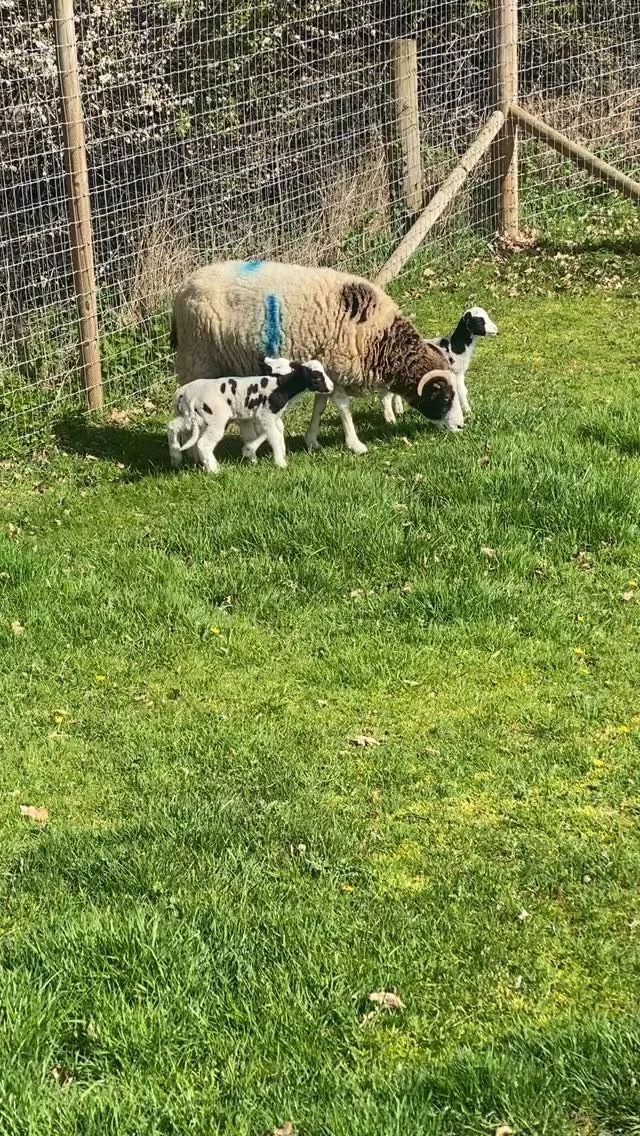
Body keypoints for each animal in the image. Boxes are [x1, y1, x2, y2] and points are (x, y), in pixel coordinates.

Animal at [167, 355, 333, 472]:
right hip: (214, 420)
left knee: (172, 427)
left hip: (192, 418)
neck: (281, 386)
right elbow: (272, 435)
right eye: (317, 377)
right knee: (203, 443)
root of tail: (184, 394)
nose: (331, 387)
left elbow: (270, 432)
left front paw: (253, 456)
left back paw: (176, 457)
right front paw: (280, 462)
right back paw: (214, 470)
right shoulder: (264, 415)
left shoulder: (253, 417)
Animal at [170, 259, 463, 456]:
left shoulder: (327, 370)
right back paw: (193, 455)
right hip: (197, 361)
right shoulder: (336, 366)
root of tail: (183, 288)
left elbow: (320, 406)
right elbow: (343, 408)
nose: (461, 426)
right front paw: (356, 444)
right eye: (444, 396)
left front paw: (312, 440)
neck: (379, 339)